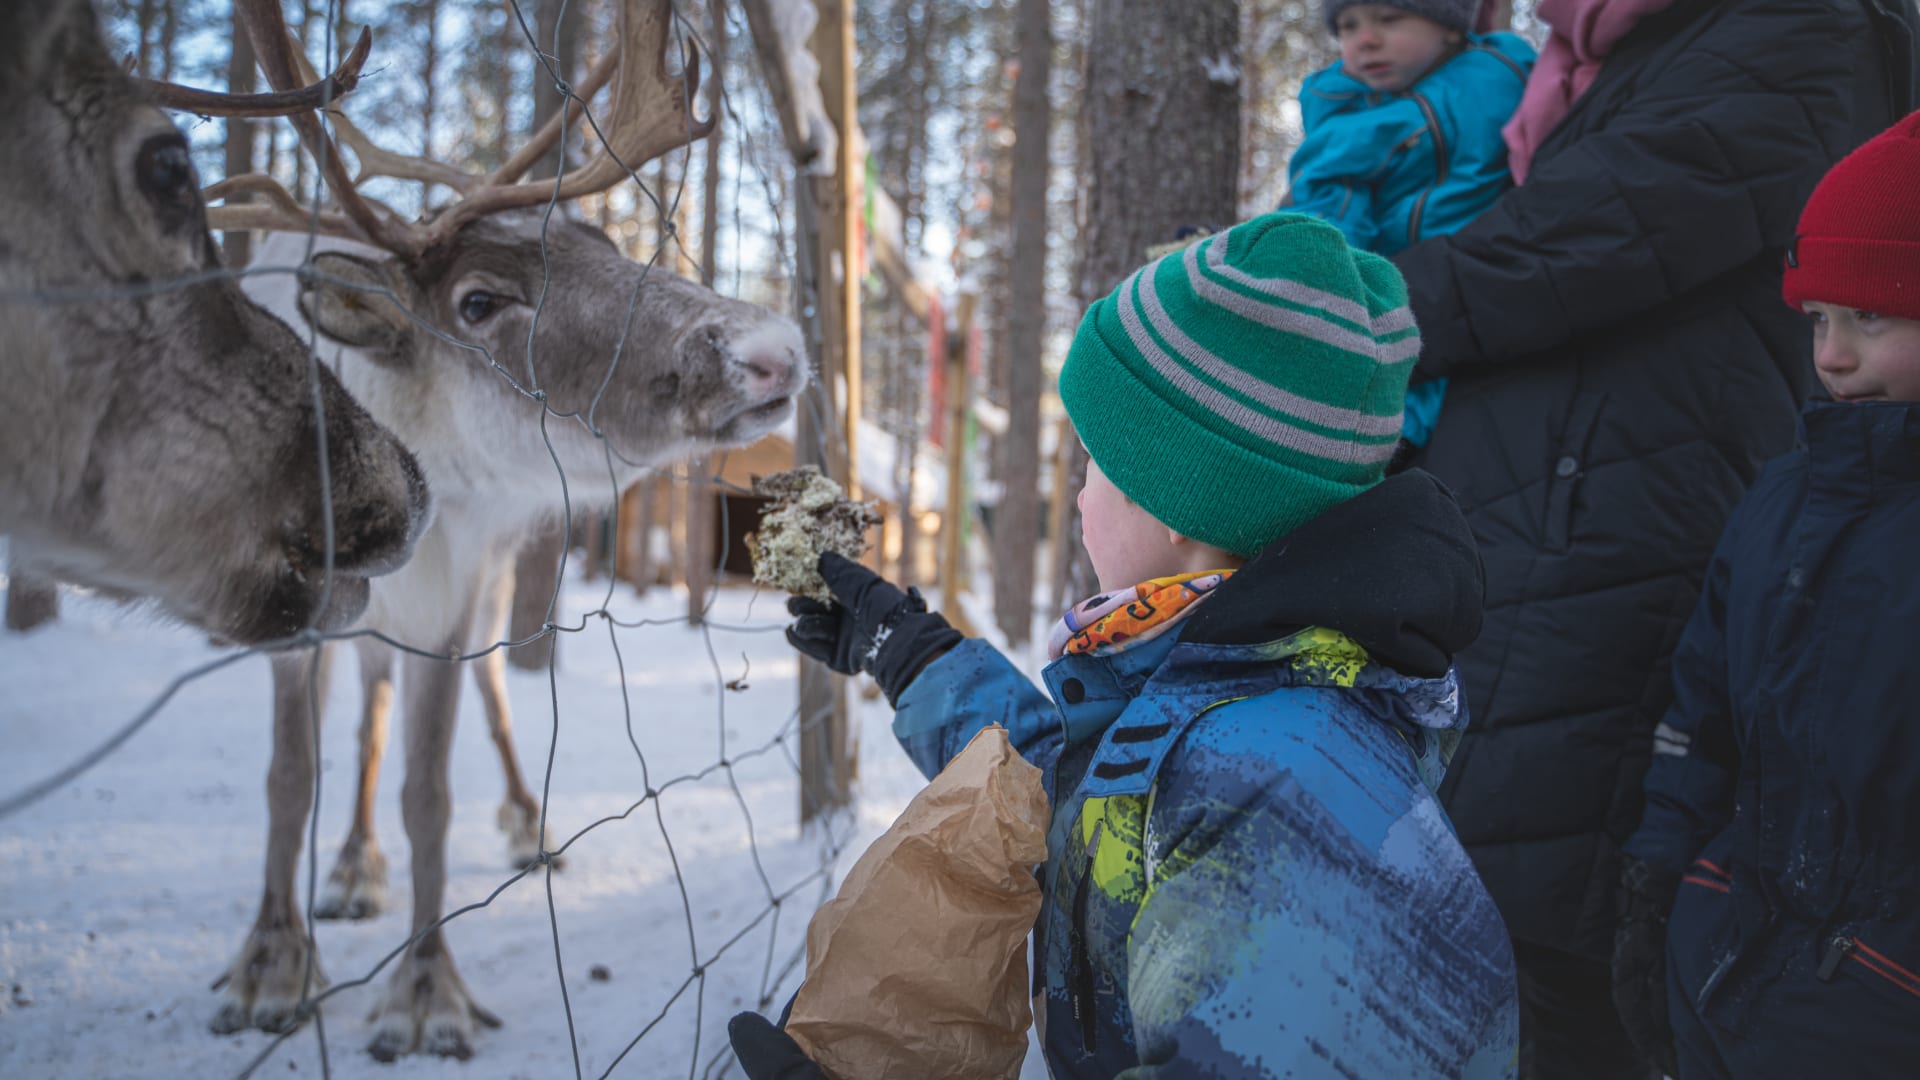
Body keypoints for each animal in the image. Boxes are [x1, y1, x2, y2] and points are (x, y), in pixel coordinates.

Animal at [199, 0, 809, 1060]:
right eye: (479, 301)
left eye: (609, 247)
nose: (775, 350)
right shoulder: (293, 611)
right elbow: (289, 778)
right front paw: (271, 967)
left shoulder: (449, 598)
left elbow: (430, 794)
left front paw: (425, 993)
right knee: (364, 716)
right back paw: (350, 870)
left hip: (483, 589)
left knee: (482, 696)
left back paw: (527, 827)